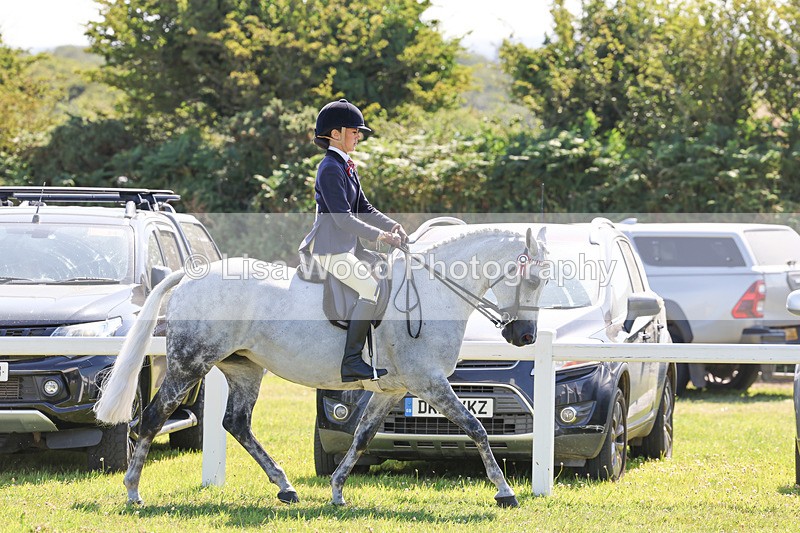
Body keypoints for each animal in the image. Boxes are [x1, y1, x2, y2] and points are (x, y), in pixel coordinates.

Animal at [93, 226, 549, 508]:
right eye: (534, 280)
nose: (525, 336)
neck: (433, 291)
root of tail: (190, 275)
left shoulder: (394, 390)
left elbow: (362, 437)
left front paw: (337, 491)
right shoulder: (429, 382)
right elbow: (476, 429)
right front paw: (505, 492)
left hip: (244, 369)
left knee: (236, 423)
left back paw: (286, 487)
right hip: (190, 364)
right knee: (153, 417)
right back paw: (133, 492)